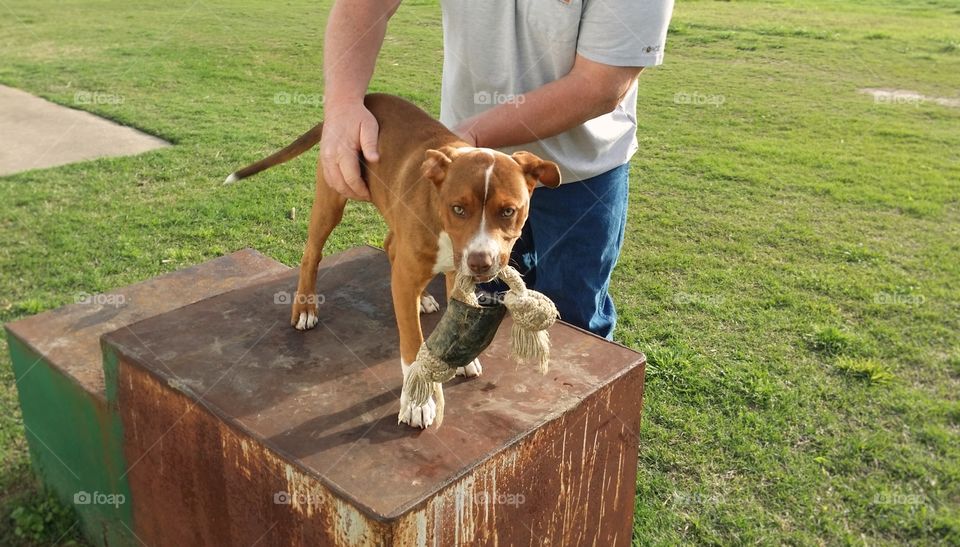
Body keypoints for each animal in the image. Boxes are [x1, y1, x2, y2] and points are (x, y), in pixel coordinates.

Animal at [222, 94, 560, 428]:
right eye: (458, 209)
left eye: (508, 211)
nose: (480, 263)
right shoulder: (409, 278)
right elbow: (412, 343)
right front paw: (417, 401)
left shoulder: (454, 270)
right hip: (331, 197)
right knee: (311, 254)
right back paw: (305, 307)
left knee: (389, 245)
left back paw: (423, 299)